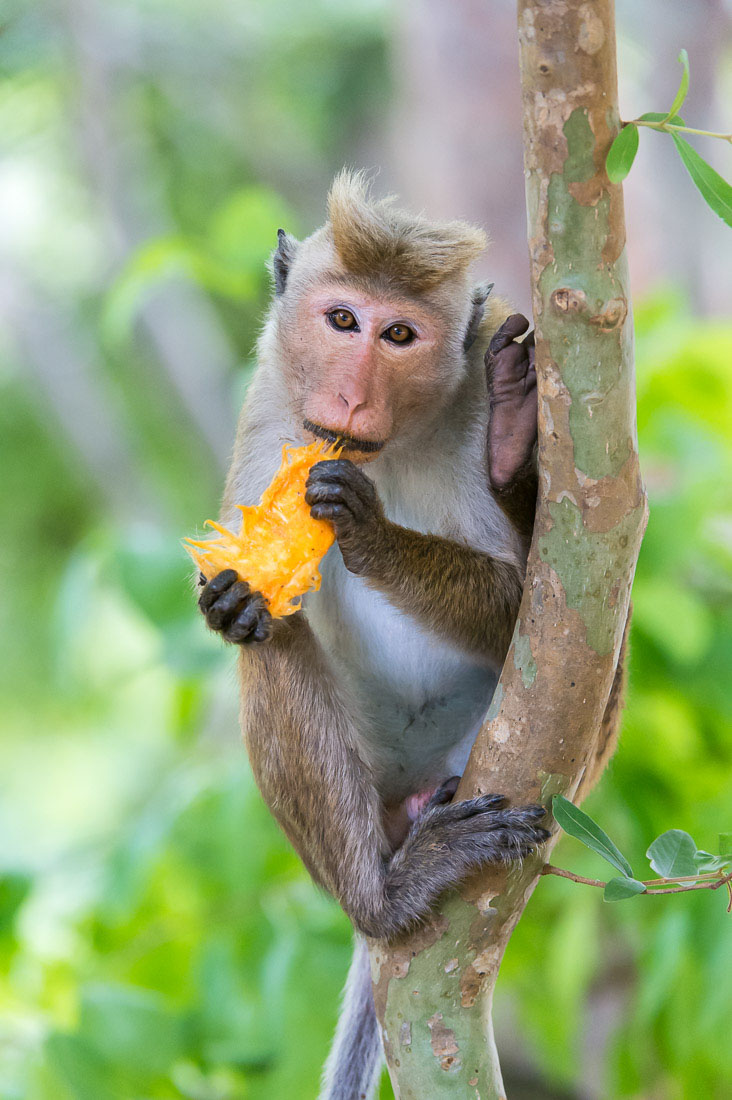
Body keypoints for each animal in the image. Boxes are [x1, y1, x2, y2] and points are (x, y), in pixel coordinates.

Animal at [192, 169, 603, 1091]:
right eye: (343, 321)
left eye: (401, 335)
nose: (350, 398)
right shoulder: (271, 415)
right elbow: (258, 597)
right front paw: (236, 600)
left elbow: (545, 607)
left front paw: (370, 532)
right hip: (371, 792)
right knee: (275, 647)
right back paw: (384, 897)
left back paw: (515, 435)